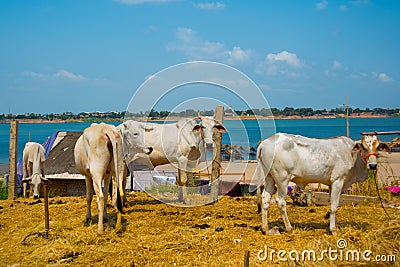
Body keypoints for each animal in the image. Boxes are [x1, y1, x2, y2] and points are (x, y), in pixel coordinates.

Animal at [256, 133, 390, 234]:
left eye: (378, 147)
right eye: (363, 146)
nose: (373, 165)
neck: (352, 155)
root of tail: (265, 142)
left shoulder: (331, 184)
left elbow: (331, 204)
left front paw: (328, 218)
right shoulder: (338, 181)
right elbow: (334, 206)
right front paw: (333, 230)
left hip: (269, 177)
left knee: (265, 198)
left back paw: (265, 228)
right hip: (282, 179)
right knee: (281, 201)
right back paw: (289, 227)